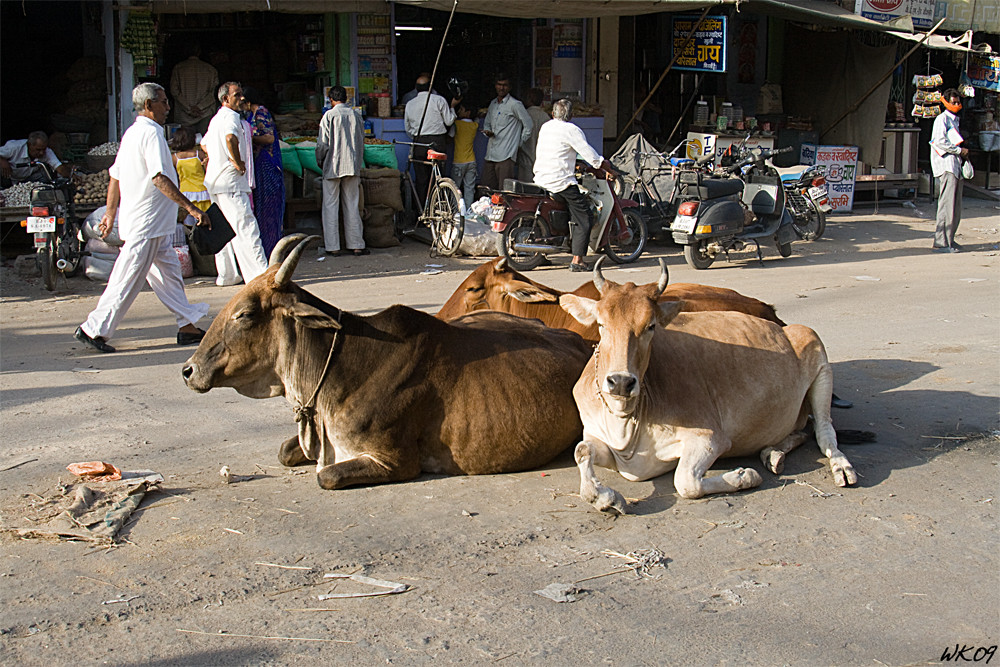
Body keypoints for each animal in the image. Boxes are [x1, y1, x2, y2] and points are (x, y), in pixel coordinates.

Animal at [181, 236, 592, 490]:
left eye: (246, 314)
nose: (188, 370)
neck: (340, 368)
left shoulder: (394, 461)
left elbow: (325, 476)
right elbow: (285, 452)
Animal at [560, 258, 856, 516]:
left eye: (651, 326)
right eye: (601, 324)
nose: (621, 382)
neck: (625, 424)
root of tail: (781, 326)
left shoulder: (710, 438)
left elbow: (685, 482)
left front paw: (744, 476)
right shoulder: (597, 438)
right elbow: (581, 451)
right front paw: (607, 499)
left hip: (815, 349)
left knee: (824, 429)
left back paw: (840, 466)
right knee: (803, 430)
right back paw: (773, 454)